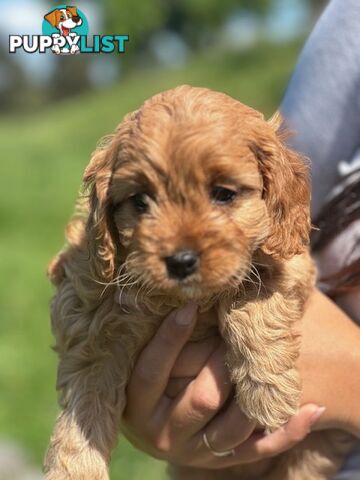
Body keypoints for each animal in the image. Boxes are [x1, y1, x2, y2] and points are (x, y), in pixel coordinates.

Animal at [43, 87, 354, 480]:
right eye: (140, 201)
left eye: (223, 193)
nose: (180, 261)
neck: (180, 300)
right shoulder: (90, 323)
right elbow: (84, 406)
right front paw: (74, 470)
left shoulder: (293, 262)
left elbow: (249, 296)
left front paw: (269, 392)